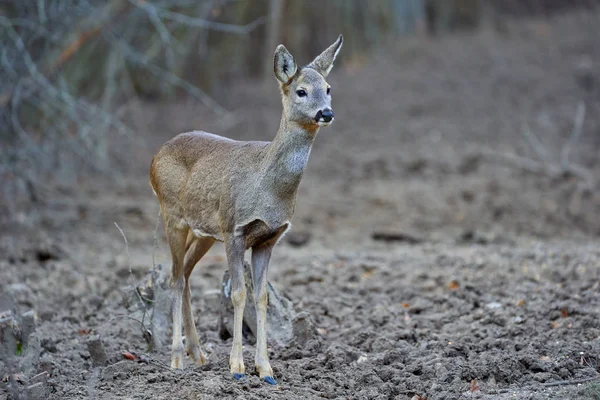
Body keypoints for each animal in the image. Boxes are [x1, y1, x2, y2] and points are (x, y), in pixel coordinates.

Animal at [150, 34, 342, 384]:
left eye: (328, 87)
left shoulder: (269, 238)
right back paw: (176, 358)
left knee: (185, 274)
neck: (267, 185)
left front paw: (266, 369)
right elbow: (239, 293)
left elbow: (261, 297)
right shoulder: (235, 230)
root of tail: (155, 157)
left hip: (204, 231)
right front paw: (237, 368)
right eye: (301, 91)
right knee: (174, 278)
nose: (326, 113)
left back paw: (198, 353)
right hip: (172, 215)